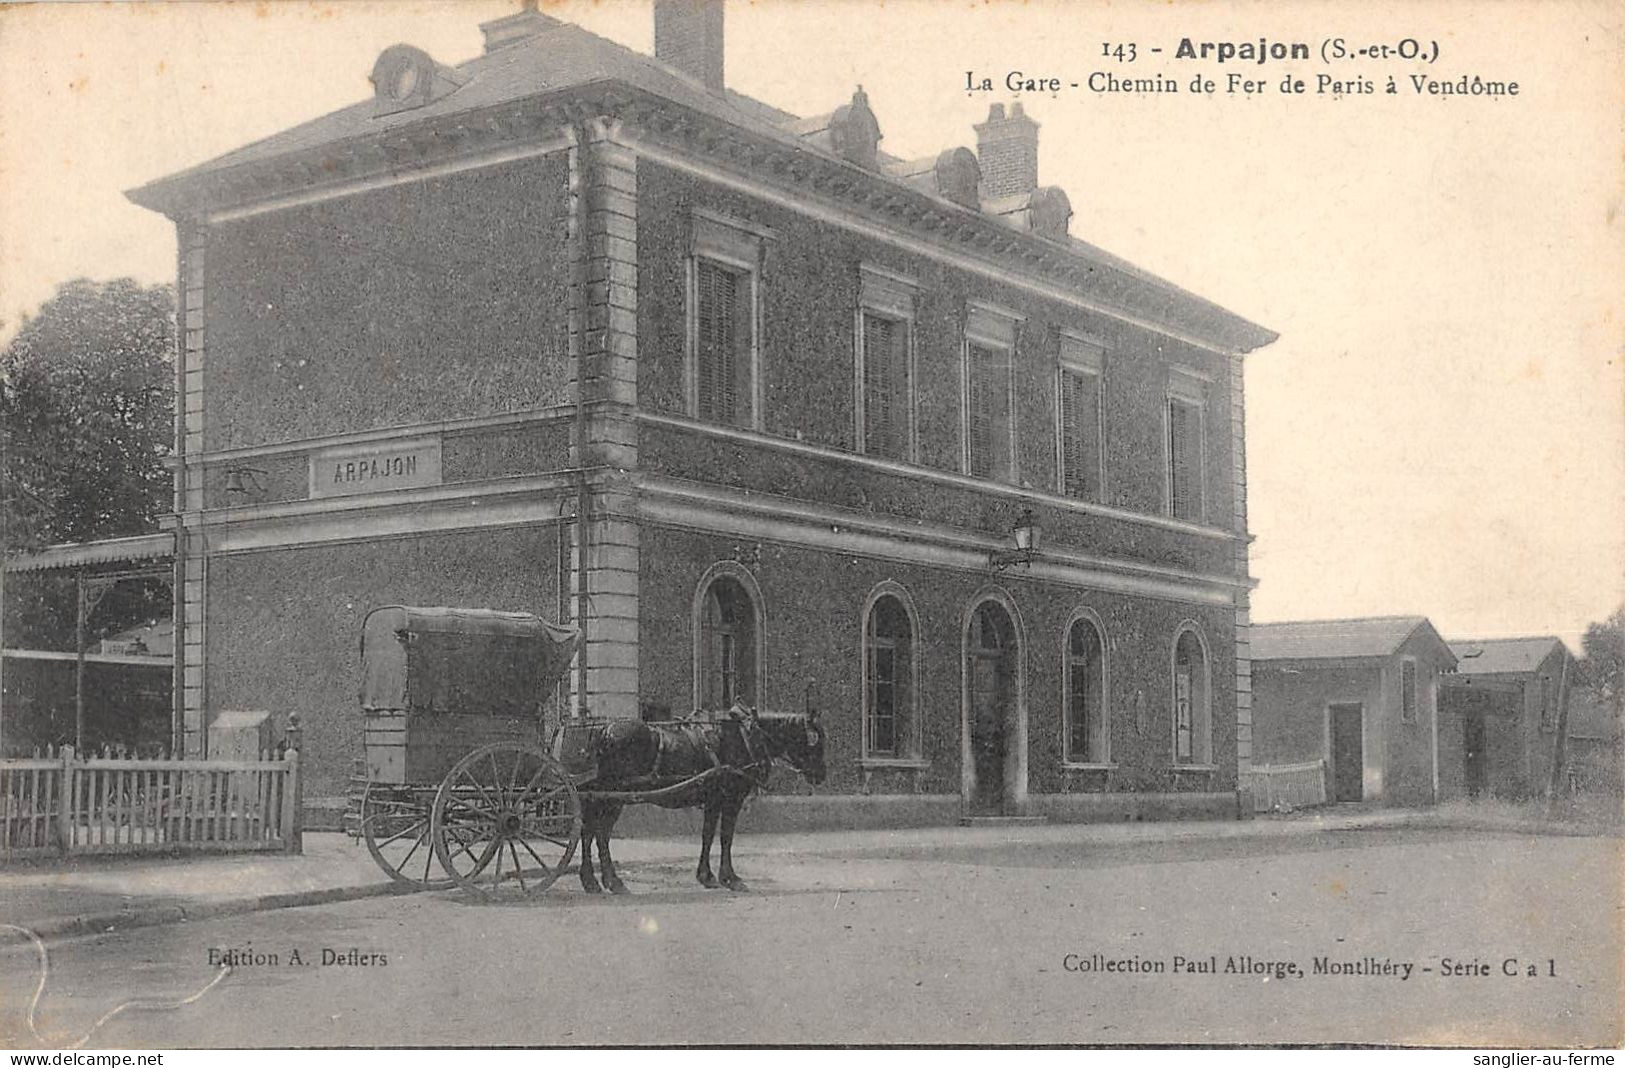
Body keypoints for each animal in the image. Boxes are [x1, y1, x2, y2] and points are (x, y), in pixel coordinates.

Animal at [568, 708, 825, 890]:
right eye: (815, 742)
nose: (820, 775)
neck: (744, 736)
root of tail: (605, 731)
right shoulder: (731, 799)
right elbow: (725, 838)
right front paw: (729, 878)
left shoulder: (713, 800)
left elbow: (708, 835)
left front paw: (706, 876)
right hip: (613, 797)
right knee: (600, 834)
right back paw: (611, 881)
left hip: (601, 796)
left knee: (588, 832)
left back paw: (591, 880)